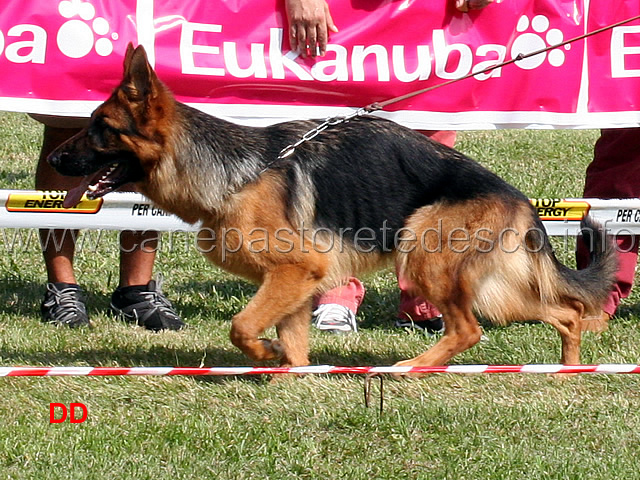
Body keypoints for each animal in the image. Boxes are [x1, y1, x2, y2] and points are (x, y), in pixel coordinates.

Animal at [47, 44, 616, 368]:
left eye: (99, 128)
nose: (53, 158)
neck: (236, 171)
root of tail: (519, 198)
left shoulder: (295, 271)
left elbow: (242, 326)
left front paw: (266, 355)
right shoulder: (296, 286)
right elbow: (292, 344)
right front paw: (293, 379)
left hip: (423, 256)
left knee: (469, 329)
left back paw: (411, 370)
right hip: (498, 290)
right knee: (566, 312)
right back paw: (569, 369)